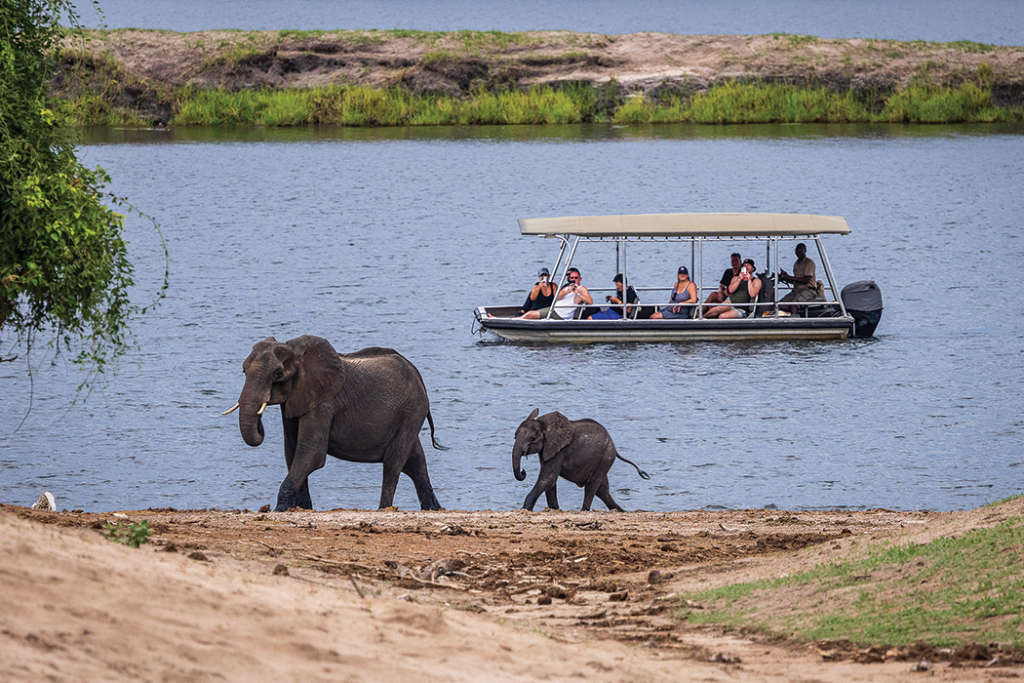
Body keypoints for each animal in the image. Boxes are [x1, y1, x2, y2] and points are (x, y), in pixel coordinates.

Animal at [223, 335, 446, 512]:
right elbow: (292, 452)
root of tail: (417, 374)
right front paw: (302, 509)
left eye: (278, 375)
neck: (298, 354)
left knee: (393, 462)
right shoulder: (295, 400)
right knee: (416, 462)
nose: (260, 422)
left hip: (411, 410)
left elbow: (311, 452)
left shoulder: (323, 402)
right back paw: (433, 509)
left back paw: (384, 509)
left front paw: (279, 511)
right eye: (243, 371)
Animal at [512, 409, 650, 512]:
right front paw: (555, 509)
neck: (544, 422)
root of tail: (615, 448)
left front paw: (525, 510)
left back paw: (584, 511)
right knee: (602, 490)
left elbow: (548, 478)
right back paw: (620, 511)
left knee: (592, 485)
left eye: (532, 438)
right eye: (515, 436)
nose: (523, 471)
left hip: (606, 457)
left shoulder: (560, 450)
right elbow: (550, 481)